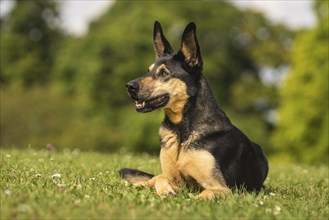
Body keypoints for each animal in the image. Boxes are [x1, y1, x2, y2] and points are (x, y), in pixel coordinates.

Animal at [119, 21, 268, 199]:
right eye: (149, 71)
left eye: (163, 73)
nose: (129, 86)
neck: (182, 130)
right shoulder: (175, 180)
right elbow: (161, 179)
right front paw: (165, 191)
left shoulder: (221, 188)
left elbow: (199, 197)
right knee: (153, 178)